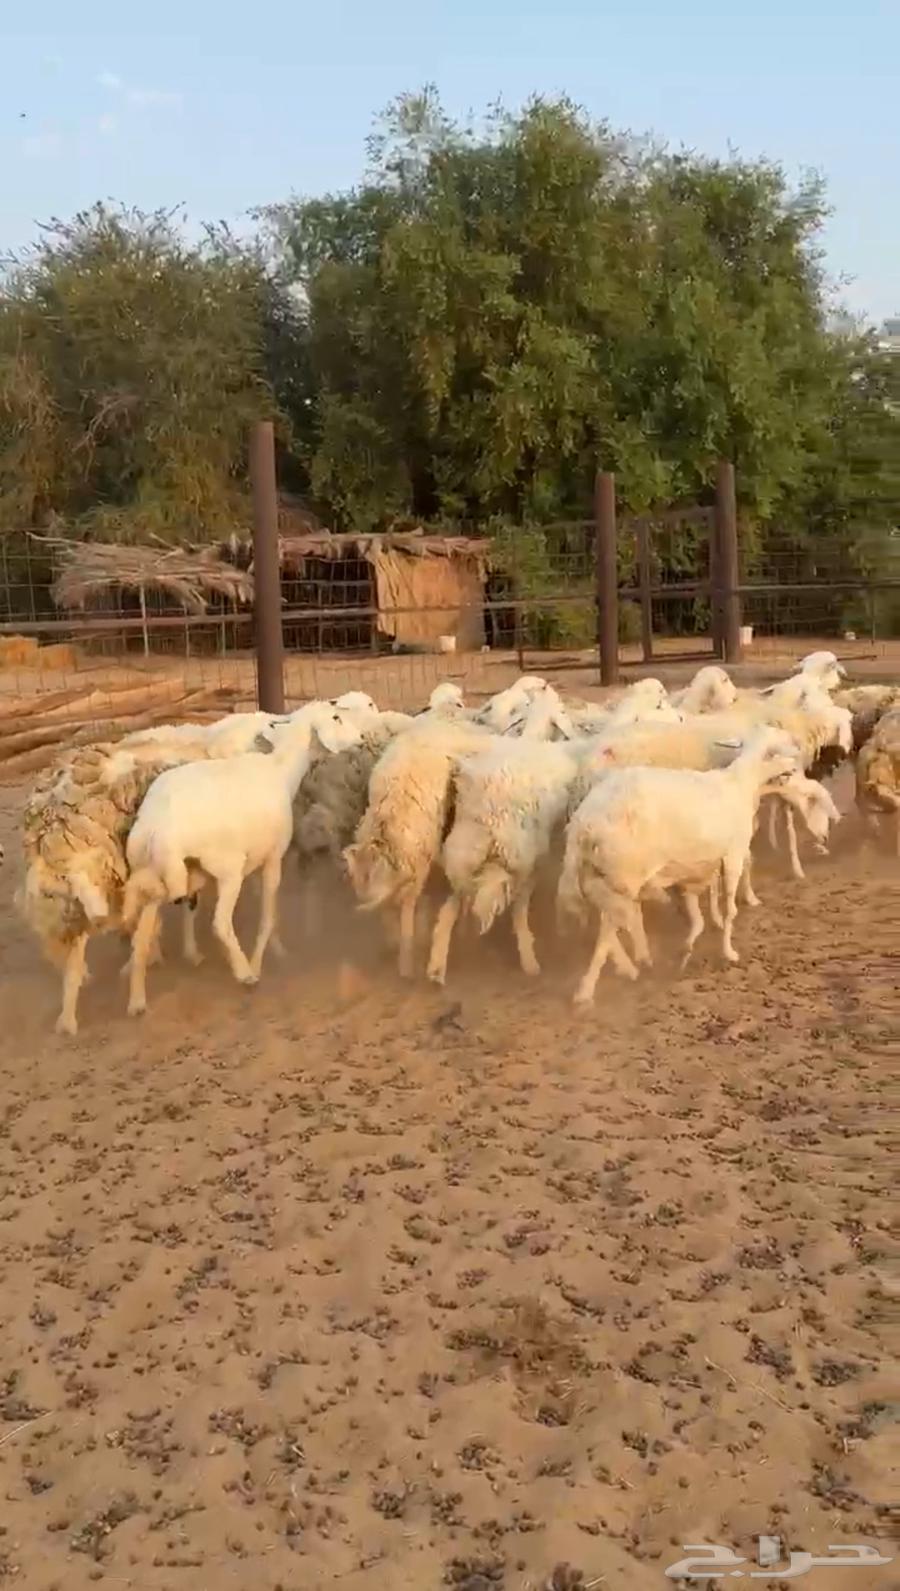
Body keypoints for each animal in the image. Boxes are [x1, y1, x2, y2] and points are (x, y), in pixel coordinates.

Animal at [122, 702, 364, 1017]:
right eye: (336, 717)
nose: (362, 736)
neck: (280, 769)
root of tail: (155, 825)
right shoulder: (272, 858)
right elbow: (268, 914)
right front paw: (263, 960)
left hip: (160, 872)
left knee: (141, 935)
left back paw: (137, 999)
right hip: (226, 871)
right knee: (220, 923)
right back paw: (244, 973)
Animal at [558, 727, 801, 1002]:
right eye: (778, 750)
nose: (795, 766)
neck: (741, 784)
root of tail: (583, 823)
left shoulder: (697, 869)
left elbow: (697, 909)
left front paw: (690, 944)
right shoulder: (733, 854)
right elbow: (729, 908)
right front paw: (728, 951)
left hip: (596, 876)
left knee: (614, 921)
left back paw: (632, 964)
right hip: (623, 874)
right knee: (610, 928)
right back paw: (591, 988)